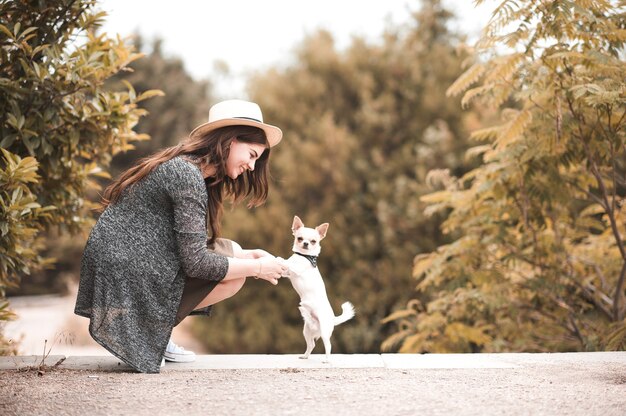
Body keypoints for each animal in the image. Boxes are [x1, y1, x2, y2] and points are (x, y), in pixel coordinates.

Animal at [282, 216, 354, 362]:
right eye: (299, 238)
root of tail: (333, 318)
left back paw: (326, 360)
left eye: (313, 241)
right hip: (307, 330)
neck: (304, 256)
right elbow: (286, 268)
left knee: (328, 345)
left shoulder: (296, 268)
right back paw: (305, 356)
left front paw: (277, 259)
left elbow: (287, 262)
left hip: (325, 332)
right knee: (312, 344)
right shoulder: (289, 273)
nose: (305, 244)